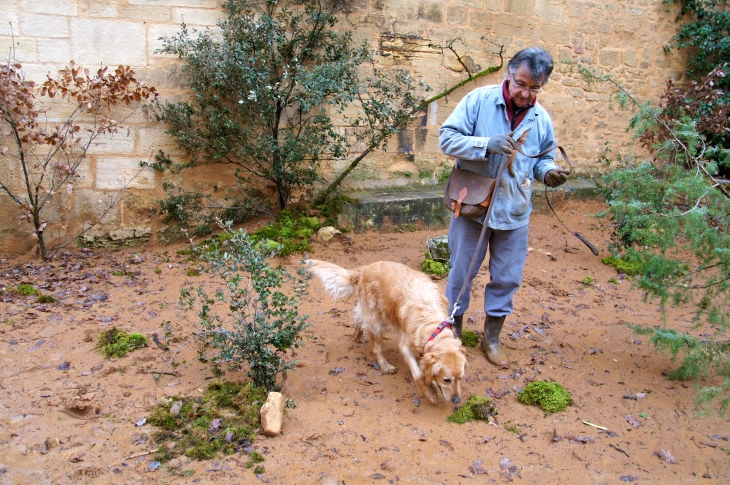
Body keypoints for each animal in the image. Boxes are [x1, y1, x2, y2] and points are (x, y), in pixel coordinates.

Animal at [302, 260, 466, 402]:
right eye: (447, 380)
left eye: (460, 378)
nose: (457, 400)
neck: (433, 326)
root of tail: (366, 268)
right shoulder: (405, 346)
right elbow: (418, 374)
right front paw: (430, 394)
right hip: (377, 321)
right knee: (376, 347)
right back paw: (385, 366)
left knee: (359, 319)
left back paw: (358, 337)